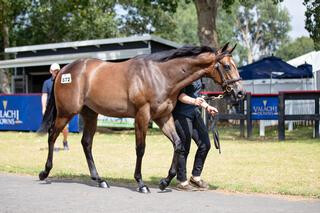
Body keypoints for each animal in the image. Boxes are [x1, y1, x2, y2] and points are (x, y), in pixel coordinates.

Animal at [39, 42, 245, 192]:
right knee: (52, 135)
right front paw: (141, 183)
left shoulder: (163, 117)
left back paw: (99, 180)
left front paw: (164, 182)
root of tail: (63, 71)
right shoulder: (142, 116)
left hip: (90, 114)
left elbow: (178, 145)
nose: (240, 93)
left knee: (86, 143)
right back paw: (44, 172)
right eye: (227, 66)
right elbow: (141, 149)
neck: (160, 75)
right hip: (66, 113)